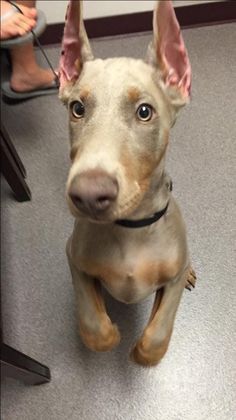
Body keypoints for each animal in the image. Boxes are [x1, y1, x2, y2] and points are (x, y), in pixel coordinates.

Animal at [58, 0, 195, 366]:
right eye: (77, 108)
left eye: (145, 112)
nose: (88, 196)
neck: (131, 229)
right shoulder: (74, 258)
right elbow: (92, 323)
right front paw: (109, 333)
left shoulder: (171, 281)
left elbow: (157, 333)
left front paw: (143, 354)